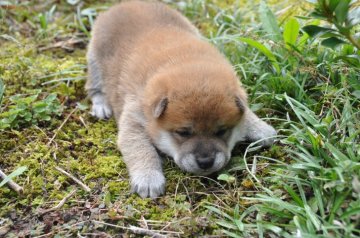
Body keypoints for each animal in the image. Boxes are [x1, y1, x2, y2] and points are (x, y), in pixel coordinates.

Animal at [86, 0, 278, 198]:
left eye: (221, 131)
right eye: (183, 133)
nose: (205, 162)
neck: (180, 60)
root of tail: (122, 5)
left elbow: (246, 111)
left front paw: (259, 127)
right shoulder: (133, 120)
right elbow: (141, 149)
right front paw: (148, 177)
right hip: (94, 61)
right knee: (94, 87)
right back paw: (101, 105)